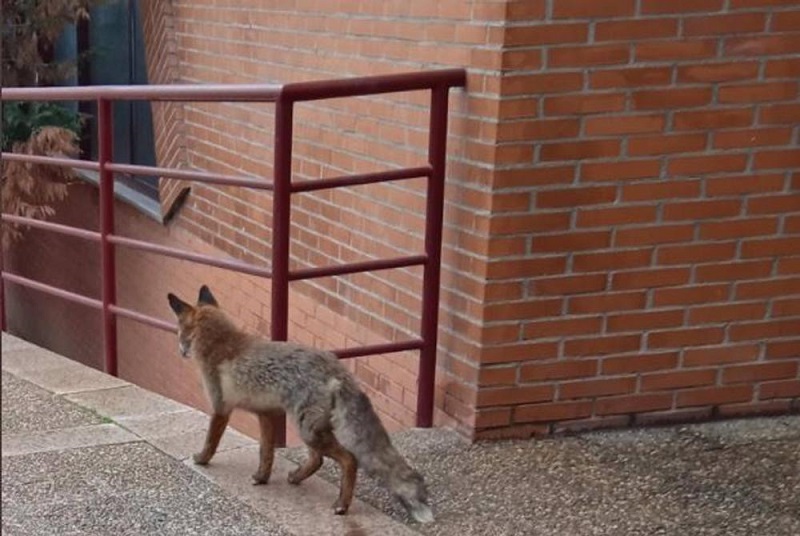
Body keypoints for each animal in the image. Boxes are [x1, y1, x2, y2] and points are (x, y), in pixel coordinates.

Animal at [165, 286, 434, 520]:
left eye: (179, 331)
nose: (180, 351)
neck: (222, 344)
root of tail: (336, 368)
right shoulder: (266, 414)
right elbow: (266, 453)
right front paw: (261, 477)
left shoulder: (220, 407)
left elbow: (211, 440)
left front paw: (201, 460)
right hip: (312, 429)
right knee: (318, 460)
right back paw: (297, 478)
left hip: (307, 429)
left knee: (348, 459)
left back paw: (341, 505)